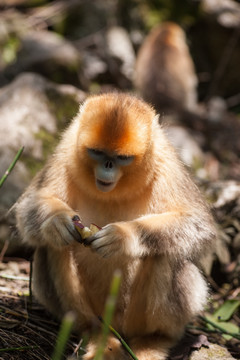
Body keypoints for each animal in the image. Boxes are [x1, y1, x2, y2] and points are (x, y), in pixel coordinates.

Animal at [14, 93, 215, 360]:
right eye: (97, 153)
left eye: (122, 158)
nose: (108, 165)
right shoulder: (65, 151)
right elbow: (26, 209)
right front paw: (57, 221)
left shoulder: (168, 163)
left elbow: (199, 227)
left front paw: (122, 237)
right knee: (54, 246)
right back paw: (97, 336)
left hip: (133, 319)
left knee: (167, 254)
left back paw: (153, 341)